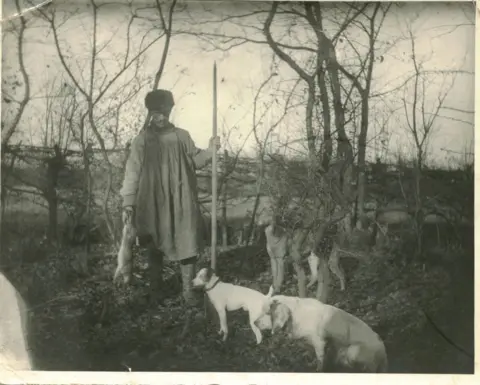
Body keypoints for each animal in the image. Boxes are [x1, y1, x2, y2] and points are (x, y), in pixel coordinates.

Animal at [255, 292, 386, 372]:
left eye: (268, 313)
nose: (254, 322)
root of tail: (383, 350)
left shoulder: (319, 341)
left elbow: (320, 359)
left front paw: (318, 370)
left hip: (353, 351)